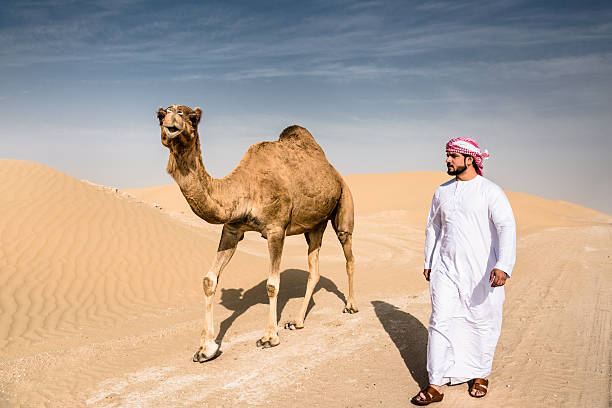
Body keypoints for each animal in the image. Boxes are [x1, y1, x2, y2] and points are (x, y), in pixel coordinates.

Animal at [157, 104, 358, 360]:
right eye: (160, 115)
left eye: (192, 118)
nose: (171, 119)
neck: (244, 187)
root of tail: (335, 173)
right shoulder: (232, 229)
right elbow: (209, 279)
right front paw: (205, 348)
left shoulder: (275, 229)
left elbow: (272, 284)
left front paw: (269, 337)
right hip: (314, 226)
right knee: (314, 268)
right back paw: (297, 322)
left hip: (344, 202)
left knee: (348, 253)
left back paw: (350, 305)